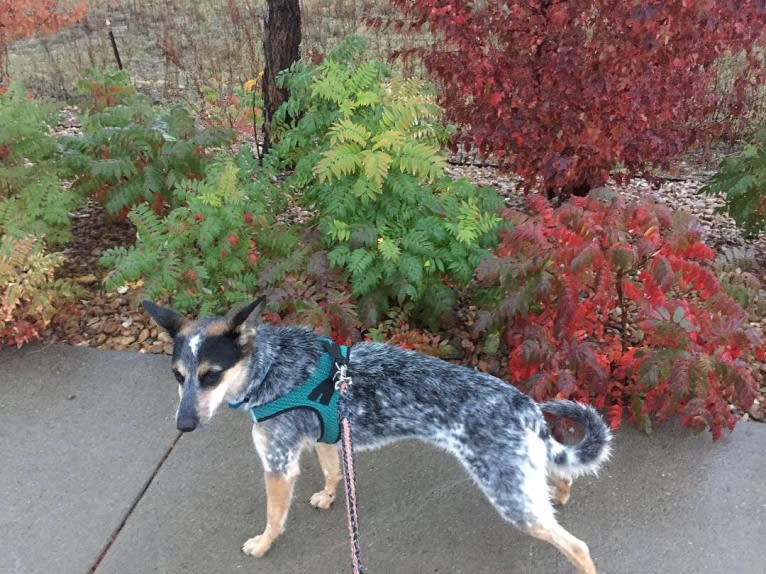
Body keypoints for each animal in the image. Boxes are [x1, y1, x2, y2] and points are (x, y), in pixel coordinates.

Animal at [142, 296, 612, 574]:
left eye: (211, 375)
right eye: (178, 375)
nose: (183, 425)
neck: (274, 367)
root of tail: (523, 404)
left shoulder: (277, 463)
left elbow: (274, 517)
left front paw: (262, 545)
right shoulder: (326, 436)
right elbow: (333, 472)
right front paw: (329, 496)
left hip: (510, 495)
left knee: (579, 547)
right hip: (521, 477)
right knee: (559, 475)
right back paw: (561, 492)